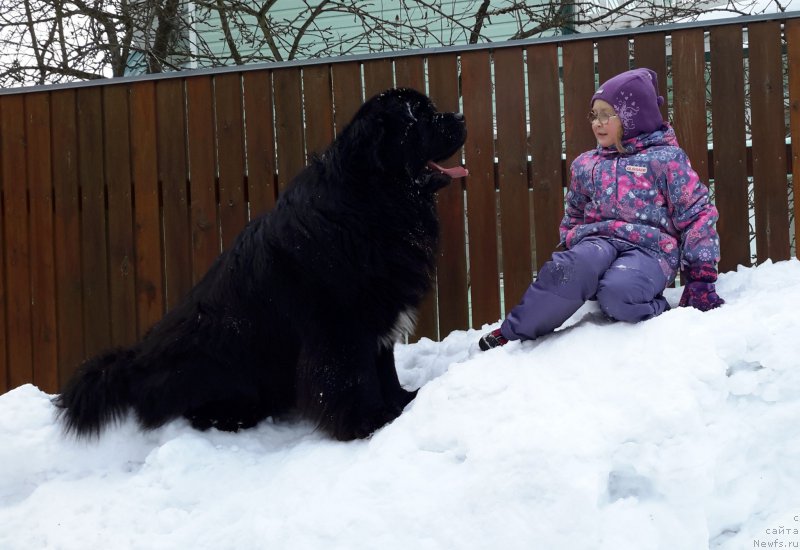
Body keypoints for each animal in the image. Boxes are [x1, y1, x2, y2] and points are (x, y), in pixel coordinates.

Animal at [54, 89, 468, 444]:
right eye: (421, 117)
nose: (462, 116)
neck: (371, 201)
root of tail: (136, 361)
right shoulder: (340, 329)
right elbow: (352, 379)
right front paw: (369, 422)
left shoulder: (378, 317)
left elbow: (385, 371)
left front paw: (403, 402)